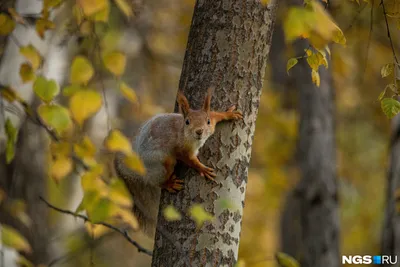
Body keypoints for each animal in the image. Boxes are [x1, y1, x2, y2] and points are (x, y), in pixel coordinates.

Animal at [114, 89, 242, 236]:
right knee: (157, 180)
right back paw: (169, 184)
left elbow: (216, 115)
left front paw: (229, 114)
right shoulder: (181, 150)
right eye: (187, 122)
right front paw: (202, 169)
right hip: (162, 164)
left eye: (208, 121)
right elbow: (190, 160)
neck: (184, 133)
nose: (199, 131)